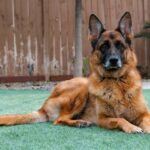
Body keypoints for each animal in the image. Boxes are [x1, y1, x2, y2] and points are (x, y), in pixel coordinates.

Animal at [0, 12, 150, 134]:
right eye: (104, 46)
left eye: (120, 45)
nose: (113, 60)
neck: (117, 82)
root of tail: (43, 107)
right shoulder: (103, 119)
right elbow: (120, 119)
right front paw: (132, 127)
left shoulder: (144, 114)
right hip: (81, 88)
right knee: (59, 120)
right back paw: (79, 122)